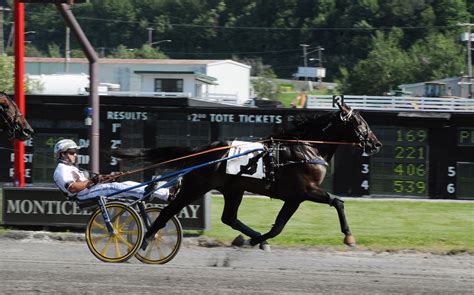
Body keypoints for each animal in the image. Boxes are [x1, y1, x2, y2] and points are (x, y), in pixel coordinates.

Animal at [117, 104, 382, 252]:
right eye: (360, 122)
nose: (376, 143)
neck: (307, 147)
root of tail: (202, 150)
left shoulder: (295, 197)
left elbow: (279, 225)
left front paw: (260, 240)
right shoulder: (306, 190)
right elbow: (338, 201)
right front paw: (349, 237)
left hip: (234, 189)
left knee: (229, 218)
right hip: (196, 187)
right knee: (168, 211)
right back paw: (146, 240)